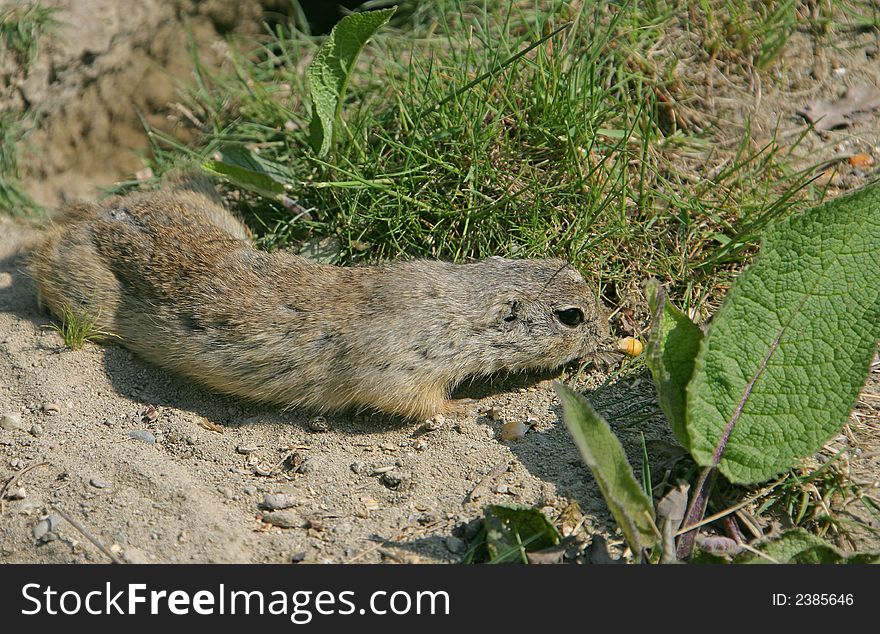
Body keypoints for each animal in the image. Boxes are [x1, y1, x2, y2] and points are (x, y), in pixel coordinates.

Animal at [29, 175, 612, 418]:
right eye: (571, 316)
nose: (608, 332)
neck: (461, 308)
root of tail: (90, 217)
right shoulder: (401, 367)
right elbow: (415, 402)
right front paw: (463, 409)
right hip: (87, 298)